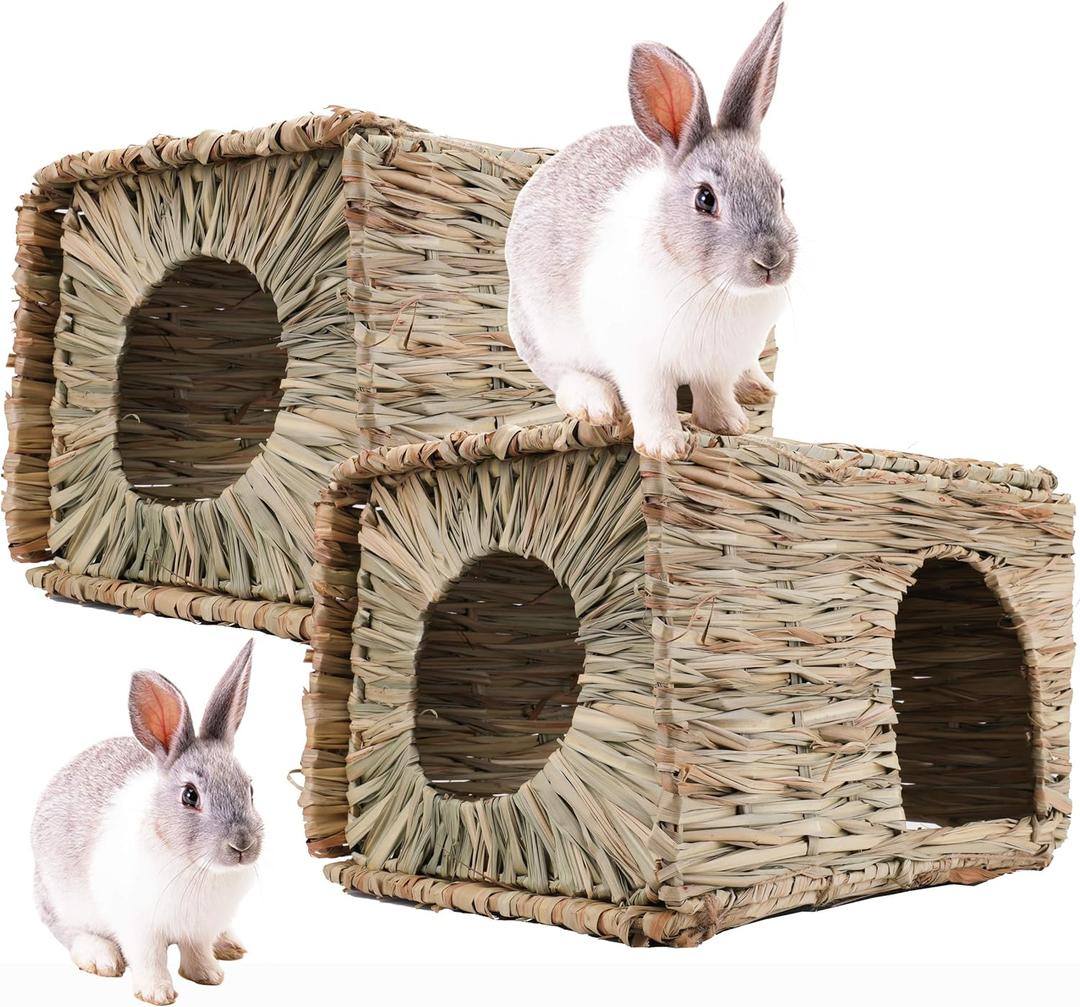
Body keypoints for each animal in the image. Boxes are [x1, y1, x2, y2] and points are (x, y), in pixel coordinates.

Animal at [31, 640, 262, 1005]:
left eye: (250, 789)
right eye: (190, 796)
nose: (242, 845)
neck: (195, 867)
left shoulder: (199, 928)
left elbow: (197, 951)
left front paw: (209, 976)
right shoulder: (139, 927)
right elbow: (149, 958)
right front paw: (157, 993)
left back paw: (229, 945)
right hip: (59, 900)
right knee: (68, 931)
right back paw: (101, 957)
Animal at [506, 3, 797, 461]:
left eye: (781, 191)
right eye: (705, 199)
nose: (771, 261)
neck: (714, 289)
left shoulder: (717, 365)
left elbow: (714, 393)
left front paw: (730, 425)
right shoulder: (641, 363)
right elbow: (653, 401)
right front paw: (664, 448)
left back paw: (757, 388)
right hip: (539, 330)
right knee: (560, 374)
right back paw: (595, 404)